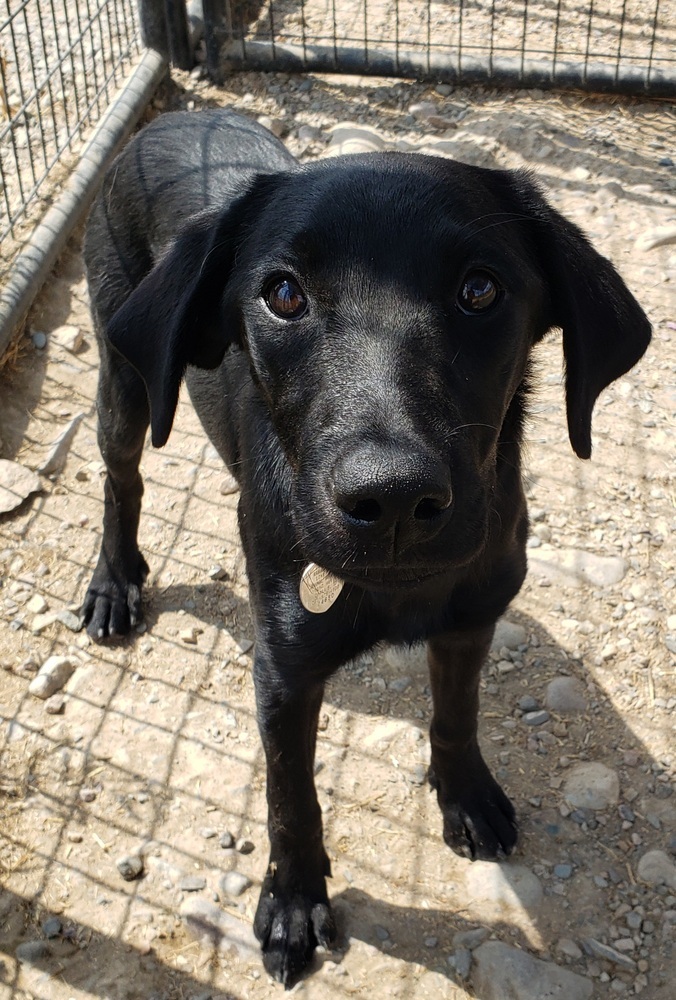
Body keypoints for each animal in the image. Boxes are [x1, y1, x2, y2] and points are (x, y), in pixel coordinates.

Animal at [79, 109, 648, 984]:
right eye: (283, 294)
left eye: (480, 289)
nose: (392, 500)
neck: (399, 587)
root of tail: (175, 115)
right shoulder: (282, 670)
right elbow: (290, 798)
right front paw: (291, 903)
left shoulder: (471, 618)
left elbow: (456, 713)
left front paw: (466, 794)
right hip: (125, 378)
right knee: (122, 477)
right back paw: (114, 584)